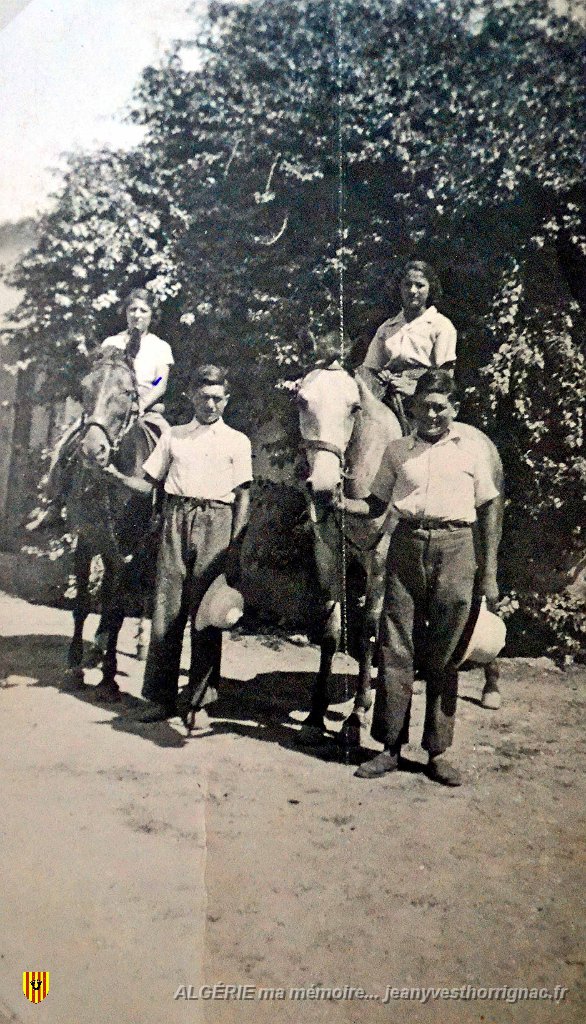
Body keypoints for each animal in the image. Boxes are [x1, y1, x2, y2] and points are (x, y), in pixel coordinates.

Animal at [64, 349, 160, 700]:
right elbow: (82, 605)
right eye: (84, 388)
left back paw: (138, 645)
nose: (93, 451)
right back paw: (99, 645)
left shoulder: (129, 552)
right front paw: (75, 667)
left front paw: (108, 678)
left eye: (127, 392)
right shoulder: (87, 540)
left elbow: (117, 610)